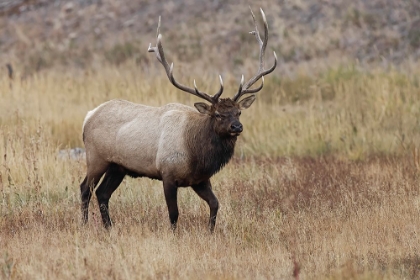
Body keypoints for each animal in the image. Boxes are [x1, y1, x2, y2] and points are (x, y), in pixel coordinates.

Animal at [79, 8, 278, 232]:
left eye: (239, 112)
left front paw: (210, 232)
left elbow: (215, 204)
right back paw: (85, 224)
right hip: (96, 157)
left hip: (118, 166)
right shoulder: (167, 174)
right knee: (85, 188)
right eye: (217, 114)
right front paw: (174, 235)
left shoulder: (200, 179)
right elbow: (174, 214)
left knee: (102, 193)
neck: (197, 154)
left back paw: (109, 227)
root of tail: (88, 117)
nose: (237, 127)